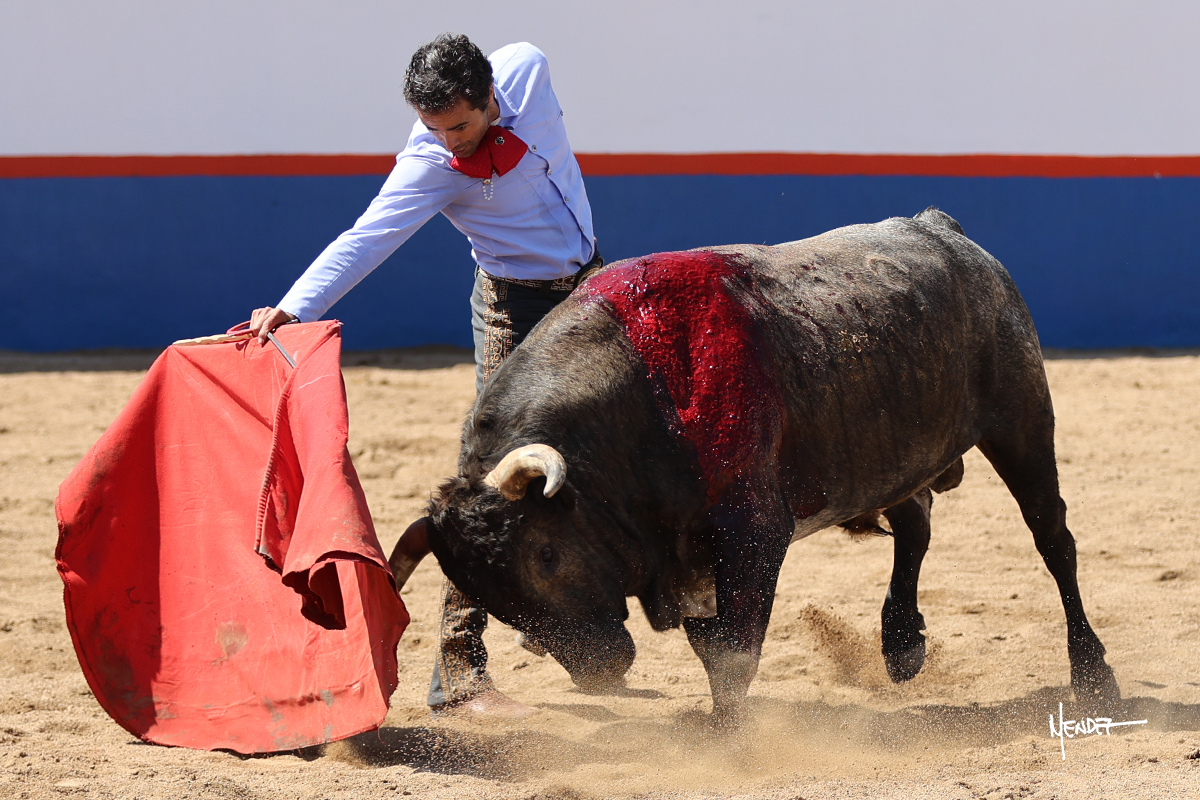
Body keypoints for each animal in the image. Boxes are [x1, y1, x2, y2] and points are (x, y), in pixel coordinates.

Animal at [390, 208, 1120, 724]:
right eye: (490, 597)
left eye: (544, 554)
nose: (598, 668)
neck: (636, 403)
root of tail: (946, 231)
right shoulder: (685, 559)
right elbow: (708, 642)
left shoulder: (753, 533)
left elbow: (733, 648)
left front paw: (730, 737)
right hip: (897, 449)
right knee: (915, 527)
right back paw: (901, 644)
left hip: (1022, 421)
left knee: (1053, 540)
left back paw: (1094, 677)